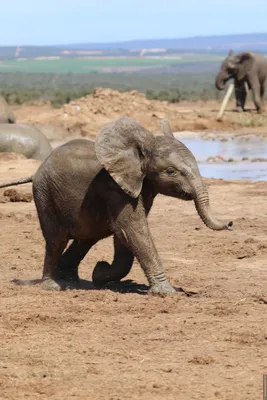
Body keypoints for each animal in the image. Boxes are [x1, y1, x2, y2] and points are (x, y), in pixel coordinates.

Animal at [0, 117, 233, 296]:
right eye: (171, 171)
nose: (231, 223)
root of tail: (36, 171)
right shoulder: (115, 190)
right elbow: (132, 229)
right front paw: (166, 292)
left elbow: (124, 237)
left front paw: (100, 274)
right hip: (45, 193)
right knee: (56, 239)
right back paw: (53, 286)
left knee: (86, 238)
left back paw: (75, 282)